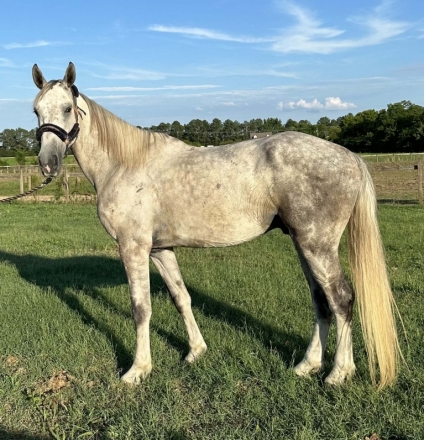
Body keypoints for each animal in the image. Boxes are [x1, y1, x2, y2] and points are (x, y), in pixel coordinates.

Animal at [33, 62, 400, 388]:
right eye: (36, 110)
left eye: (67, 108)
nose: (48, 163)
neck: (124, 165)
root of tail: (349, 156)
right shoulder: (161, 250)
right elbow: (181, 297)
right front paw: (196, 352)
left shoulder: (132, 247)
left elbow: (141, 308)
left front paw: (137, 370)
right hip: (303, 244)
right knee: (321, 300)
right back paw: (307, 366)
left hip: (317, 246)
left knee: (341, 299)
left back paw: (338, 373)